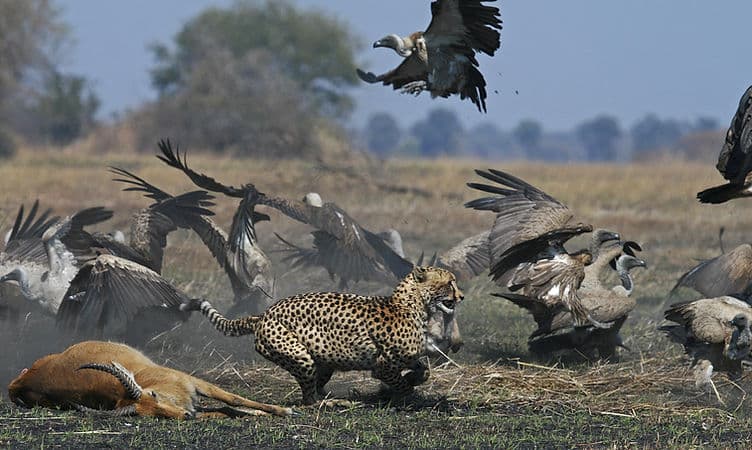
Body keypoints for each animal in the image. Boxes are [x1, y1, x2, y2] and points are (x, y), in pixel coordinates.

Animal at [181, 266, 463, 404]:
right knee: (308, 400)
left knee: (315, 387)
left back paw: (332, 397)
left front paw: (414, 380)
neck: (414, 305)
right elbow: (399, 382)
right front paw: (402, 394)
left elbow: (423, 370)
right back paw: (331, 403)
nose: (461, 296)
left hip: (324, 362)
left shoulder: (407, 357)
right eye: (450, 282)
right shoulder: (382, 366)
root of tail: (263, 314)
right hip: (299, 356)